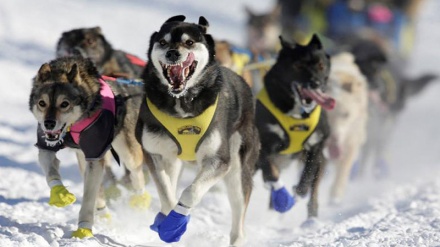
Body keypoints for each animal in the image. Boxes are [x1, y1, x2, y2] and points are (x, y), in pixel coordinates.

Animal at [29, 56, 150, 237]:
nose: (48, 123)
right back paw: (104, 214)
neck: (72, 126)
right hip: (83, 158)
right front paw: (60, 194)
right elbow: (51, 173)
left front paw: (83, 229)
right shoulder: (46, 147)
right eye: (42, 103)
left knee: (136, 174)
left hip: (128, 152)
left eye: (64, 104)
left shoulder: (95, 155)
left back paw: (140, 202)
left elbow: (88, 197)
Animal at [132, 15, 260, 247]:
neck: (181, 101)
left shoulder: (219, 160)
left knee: (238, 219)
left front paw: (176, 220)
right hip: (174, 160)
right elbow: (166, 191)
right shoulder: (154, 152)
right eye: (162, 42)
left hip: (238, 170)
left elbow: (191, 191)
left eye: (189, 42)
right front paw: (169, 223)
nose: (172, 53)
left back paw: (237, 237)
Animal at [254, 34, 334, 218]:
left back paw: (311, 217)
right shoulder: (265, 144)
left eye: (321, 65)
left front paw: (299, 190)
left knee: (315, 187)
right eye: (298, 65)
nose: (315, 83)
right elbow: (271, 172)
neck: (297, 116)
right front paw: (280, 193)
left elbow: (308, 174)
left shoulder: (316, 146)